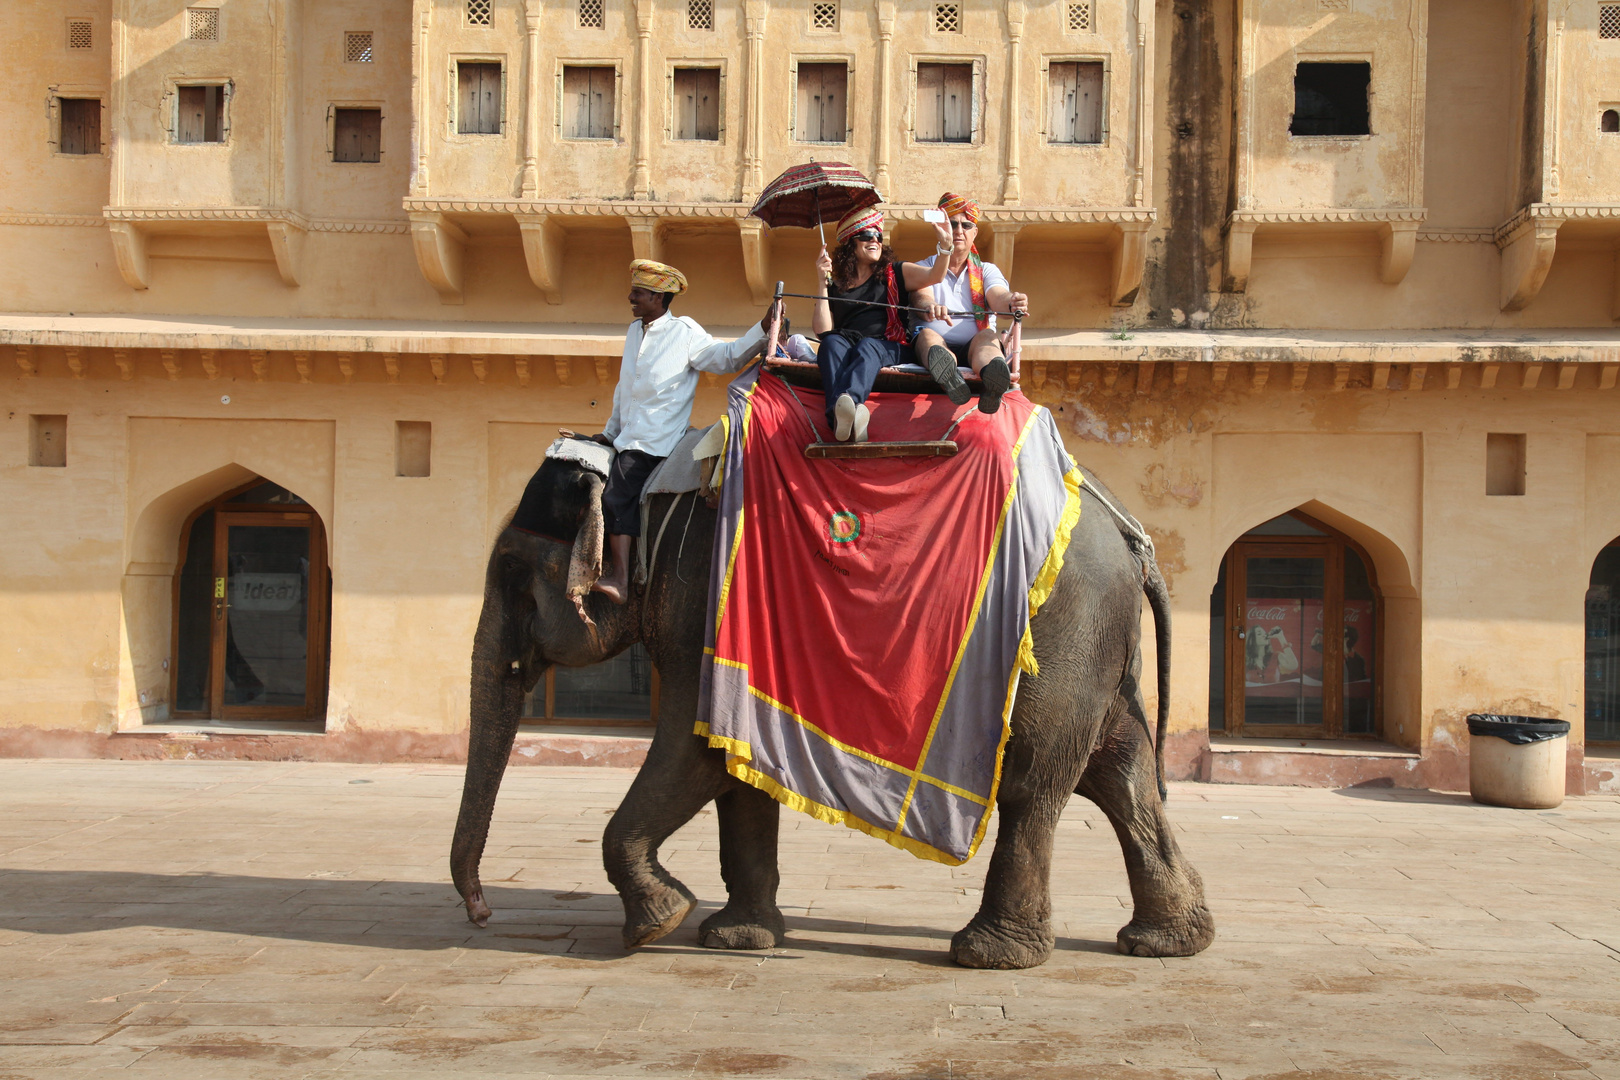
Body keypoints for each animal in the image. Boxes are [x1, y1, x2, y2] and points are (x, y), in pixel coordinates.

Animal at [450, 453, 1211, 965]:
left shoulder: (706, 602)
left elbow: (699, 748)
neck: (649, 487)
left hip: (1062, 634)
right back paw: (1168, 942)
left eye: (511, 573)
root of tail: (1133, 540)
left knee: (1034, 784)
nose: (481, 914)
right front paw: (736, 938)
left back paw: (990, 955)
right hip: (1097, 645)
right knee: (1121, 773)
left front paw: (657, 925)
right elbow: (737, 761)